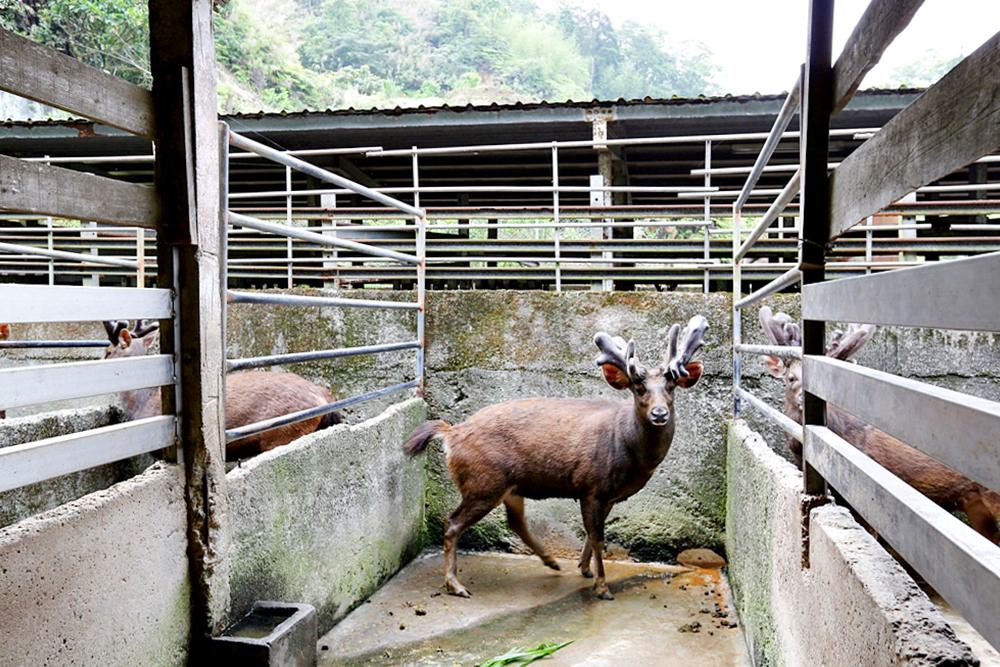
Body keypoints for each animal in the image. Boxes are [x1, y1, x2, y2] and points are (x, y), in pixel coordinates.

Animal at [402, 316, 708, 604]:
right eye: (638, 387)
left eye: (672, 386)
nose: (659, 414)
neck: (627, 448)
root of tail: (451, 433)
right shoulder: (591, 485)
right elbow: (597, 536)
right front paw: (602, 587)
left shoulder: (606, 495)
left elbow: (592, 534)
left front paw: (584, 569)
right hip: (483, 481)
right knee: (452, 523)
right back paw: (456, 585)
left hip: (510, 485)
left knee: (515, 521)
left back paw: (551, 561)